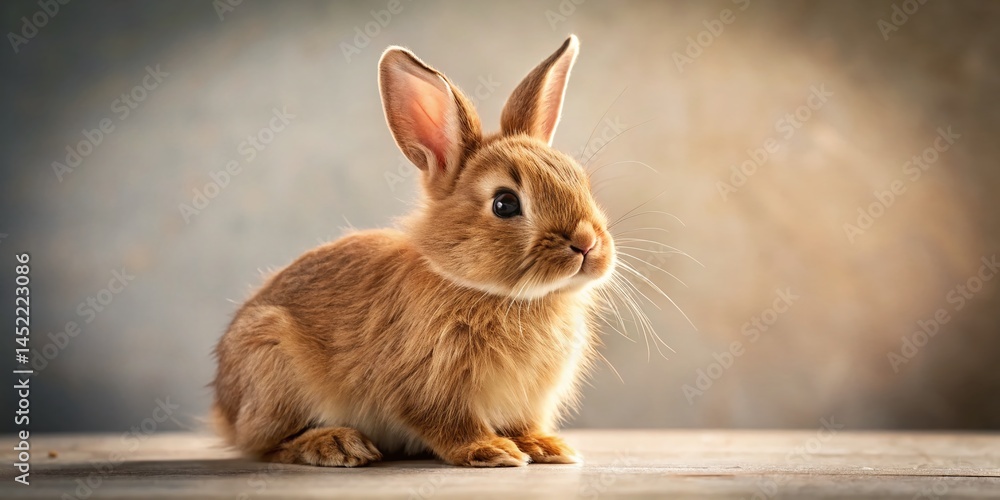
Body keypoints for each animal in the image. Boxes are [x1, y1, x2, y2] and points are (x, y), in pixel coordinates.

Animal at [211, 34, 617, 467]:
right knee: (264, 444)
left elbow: (522, 425)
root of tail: (224, 407)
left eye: (580, 180)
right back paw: (337, 444)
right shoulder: (428, 388)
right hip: (273, 367)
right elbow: (449, 423)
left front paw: (547, 447)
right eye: (505, 203)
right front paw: (491, 450)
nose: (587, 243)